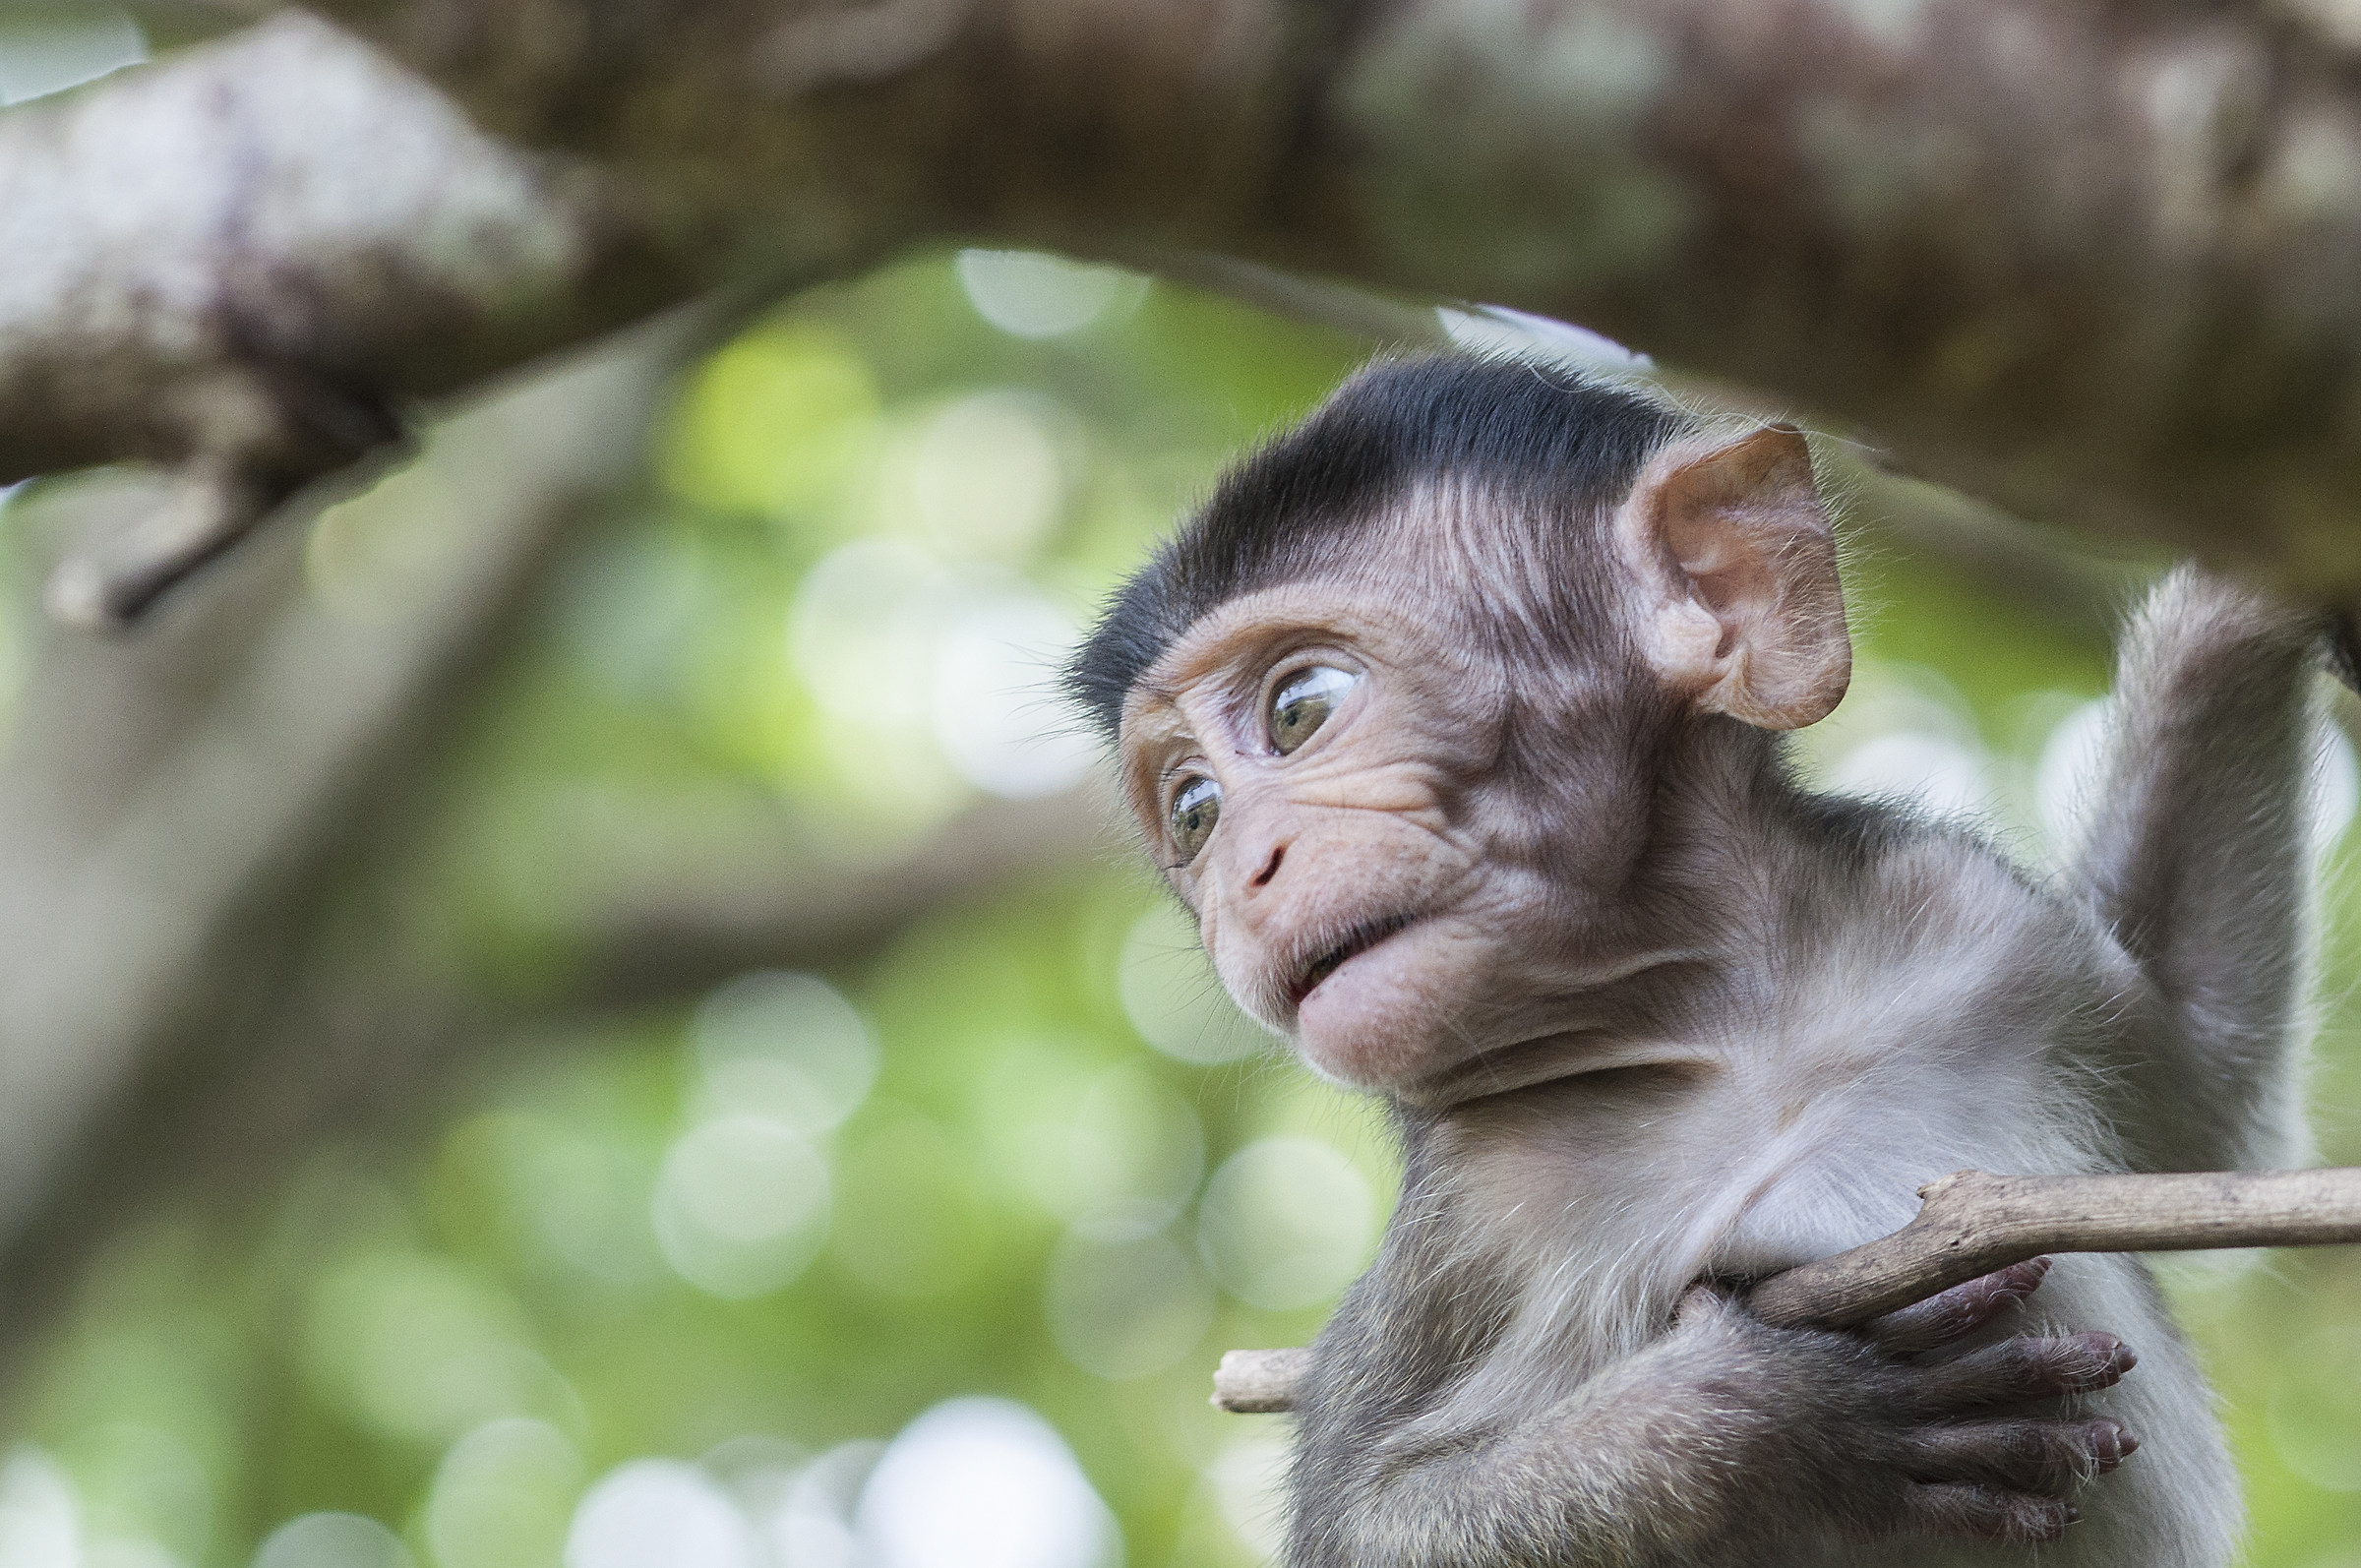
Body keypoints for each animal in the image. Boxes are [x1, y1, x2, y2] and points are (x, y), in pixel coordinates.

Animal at [1065, 354, 2330, 1566]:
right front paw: (1782, 1419)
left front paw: (2254, 591)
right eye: (1193, 812)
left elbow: (2195, 1094)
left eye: (1300, 709)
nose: (1243, 871)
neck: (1724, 1026)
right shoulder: (1477, 1219)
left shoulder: (1967, 919)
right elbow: (1362, 1524)